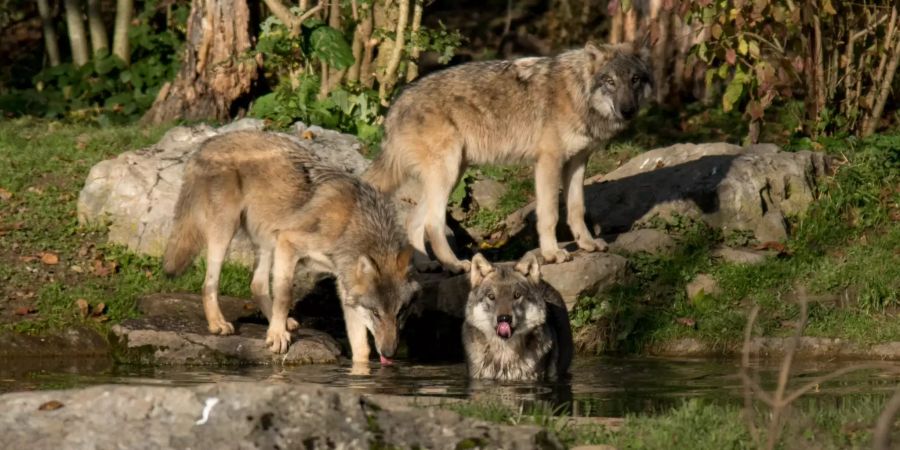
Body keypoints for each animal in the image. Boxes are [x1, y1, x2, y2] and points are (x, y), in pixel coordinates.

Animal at [163, 130, 420, 362]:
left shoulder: (343, 281)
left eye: (400, 313)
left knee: (257, 285)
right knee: (209, 283)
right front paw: (277, 336)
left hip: (267, 240)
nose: (389, 353)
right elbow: (285, 295)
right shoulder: (288, 242)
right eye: (376, 313)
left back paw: (282, 322)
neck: (352, 224)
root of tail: (205, 144)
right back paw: (219, 323)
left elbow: (362, 349)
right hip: (226, 231)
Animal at [362, 39, 652, 270]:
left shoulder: (577, 162)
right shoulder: (548, 161)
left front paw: (587, 243)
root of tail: (396, 104)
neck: (577, 94)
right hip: (448, 172)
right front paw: (552, 253)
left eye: (634, 80)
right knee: (433, 223)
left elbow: (576, 209)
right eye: (610, 82)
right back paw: (454, 264)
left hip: (452, 174)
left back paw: (428, 266)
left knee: (413, 220)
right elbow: (549, 214)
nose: (627, 110)